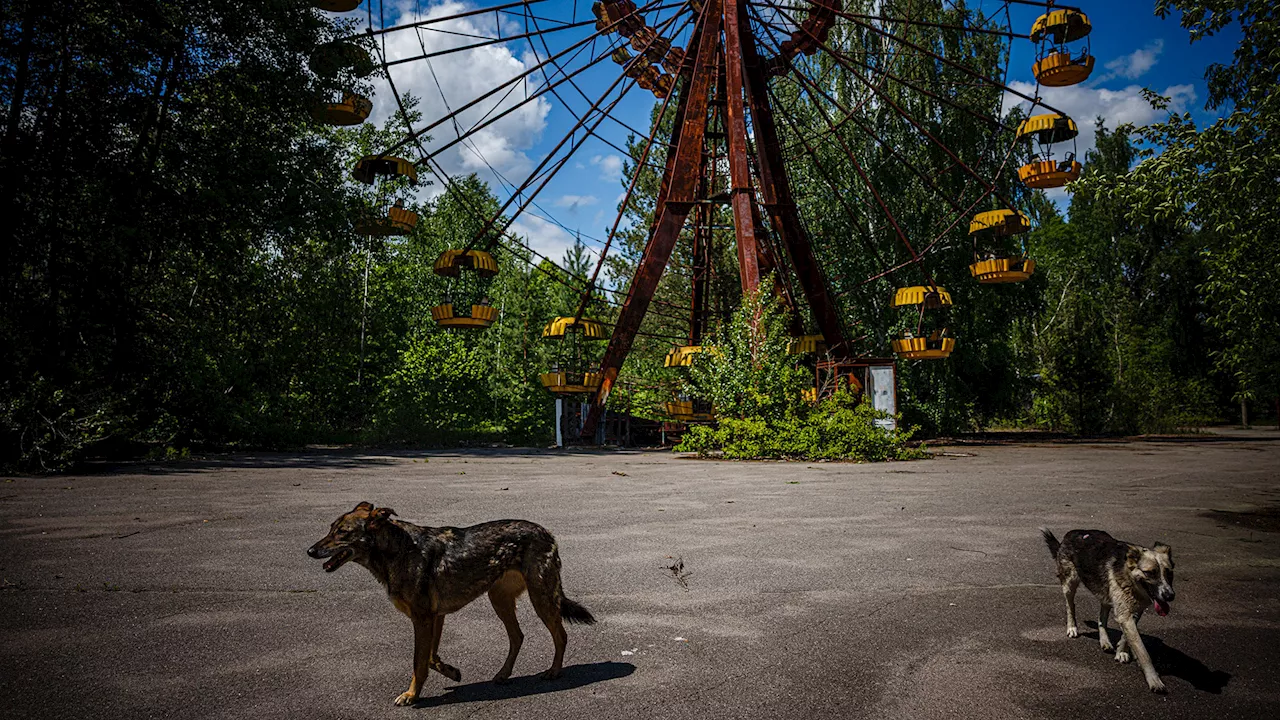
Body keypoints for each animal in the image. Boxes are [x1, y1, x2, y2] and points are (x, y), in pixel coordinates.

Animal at [309, 502, 593, 702]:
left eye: (342, 532)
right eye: (330, 528)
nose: (310, 551)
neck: (398, 550)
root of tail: (547, 532)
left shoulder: (423, 619)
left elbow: (418, 661)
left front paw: (412, 695)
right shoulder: (435, 617)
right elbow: (430, 658)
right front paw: (451, 672)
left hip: (540, 598)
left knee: (560, 635)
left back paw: (554, 671)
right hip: (499, 600)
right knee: (518, 636)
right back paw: (503, 674)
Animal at [1044, 527, 1172, 691]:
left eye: (1169, 572)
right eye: (1150, 572)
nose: (1169, 595)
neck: (1129, 576)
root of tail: (1074, 532)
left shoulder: (1135, 611)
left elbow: (1128, 636)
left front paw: (1122, 651)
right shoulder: (1125, 614)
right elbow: (1143, 651)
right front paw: (1154, 679)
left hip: (1104, 591)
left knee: (1101, 617)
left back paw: (1105, 641)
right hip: (1070, 584)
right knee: (1070, 606)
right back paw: (1072, 627)